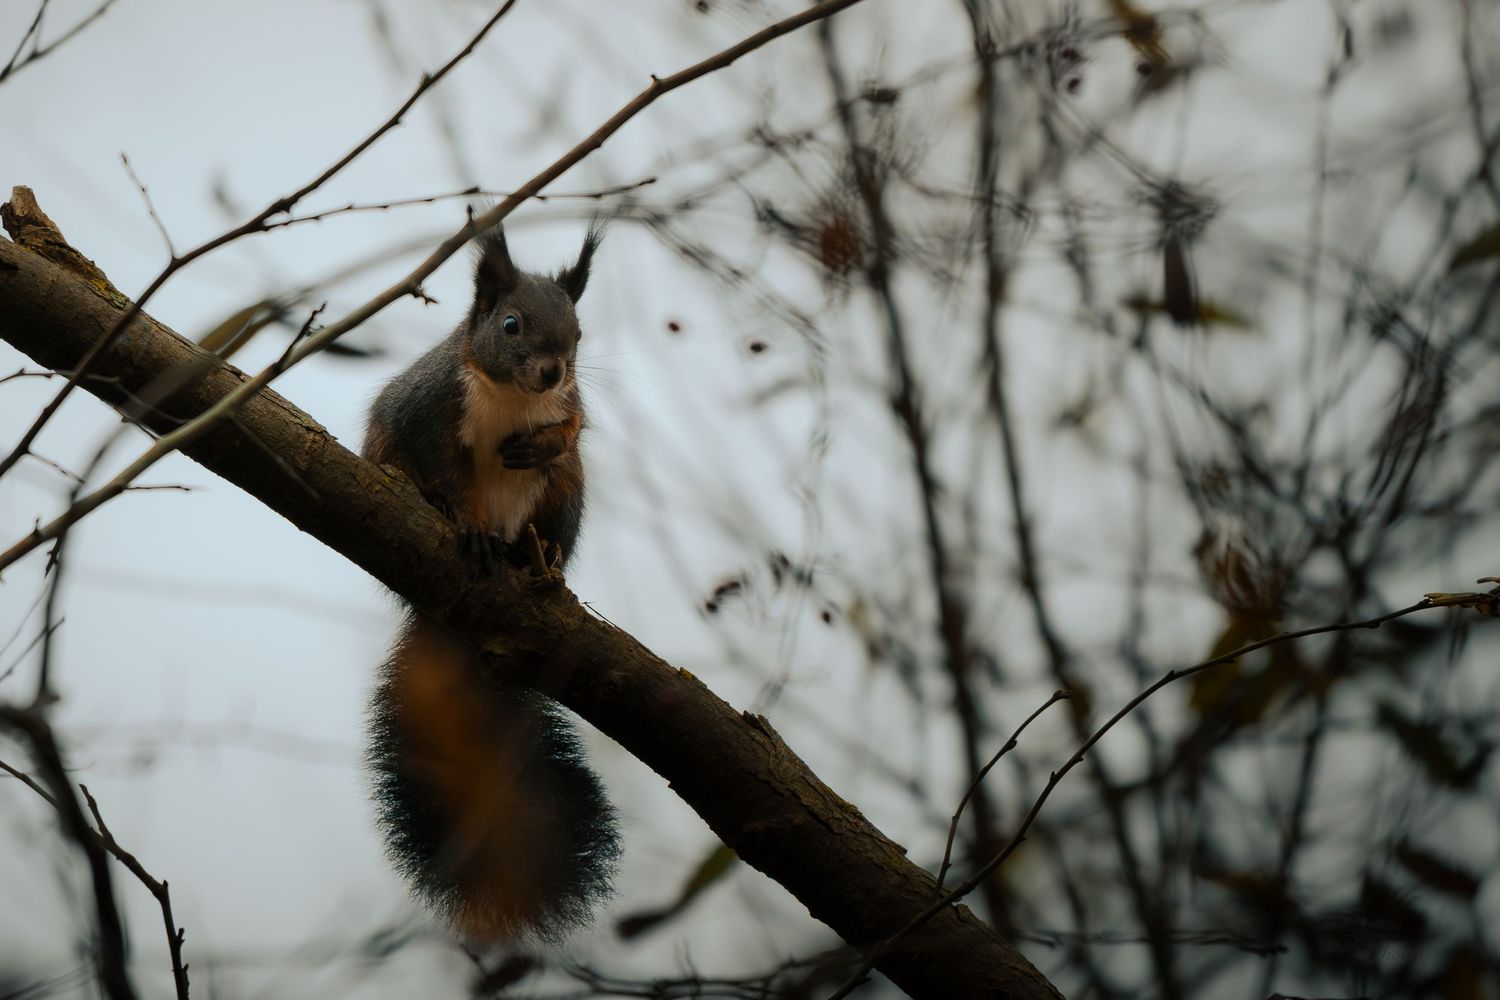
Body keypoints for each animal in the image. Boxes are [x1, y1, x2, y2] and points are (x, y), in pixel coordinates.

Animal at [361, 223, 618, 941]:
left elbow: (572, 427)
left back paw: (539, 559)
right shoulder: (427, 410)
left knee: (557, 500)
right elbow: (447, 472)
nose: (555, 371)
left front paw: (546, 440)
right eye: (511, 325)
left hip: (565, 495)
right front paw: (464, 518)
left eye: (579, 333)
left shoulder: (568, 409)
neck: (512, 400)